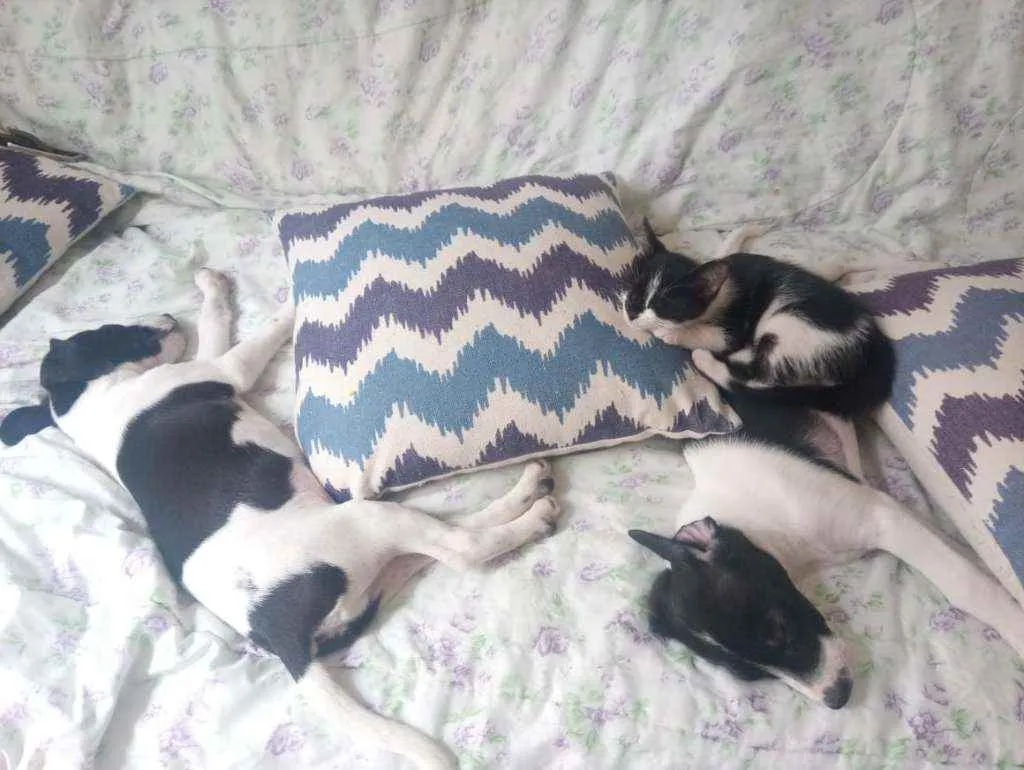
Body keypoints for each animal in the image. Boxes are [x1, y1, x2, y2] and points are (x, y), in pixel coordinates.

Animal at [0, 269, 562, 770]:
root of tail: (275, 632)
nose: (167, 317)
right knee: (462, 550)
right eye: (114, 331)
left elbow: (214, 326)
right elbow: (245, 331)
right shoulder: (224, 369)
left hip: (371, 570)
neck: (87, 403)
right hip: (366, 523)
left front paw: (209, 286)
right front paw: (287, 304)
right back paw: (530, 510)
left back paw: (521, 497)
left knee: (438, 547)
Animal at [622, 221, 895, 417]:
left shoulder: (737, 325)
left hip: (792, 326)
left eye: (664, 305)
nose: (633, 312)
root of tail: (871, 341)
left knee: (758, 376)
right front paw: (745, 231)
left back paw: (708, 359)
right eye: (636, 291)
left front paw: (671, 332)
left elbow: (717, 336)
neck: (721, 292)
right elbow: (725, 250)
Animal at [628, 388, 1024, 708]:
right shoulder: (893, 514)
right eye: (751, 674)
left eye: (778, 629)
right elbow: (957, 551)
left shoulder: (882, 517)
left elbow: (965, 583)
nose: (836, 698)